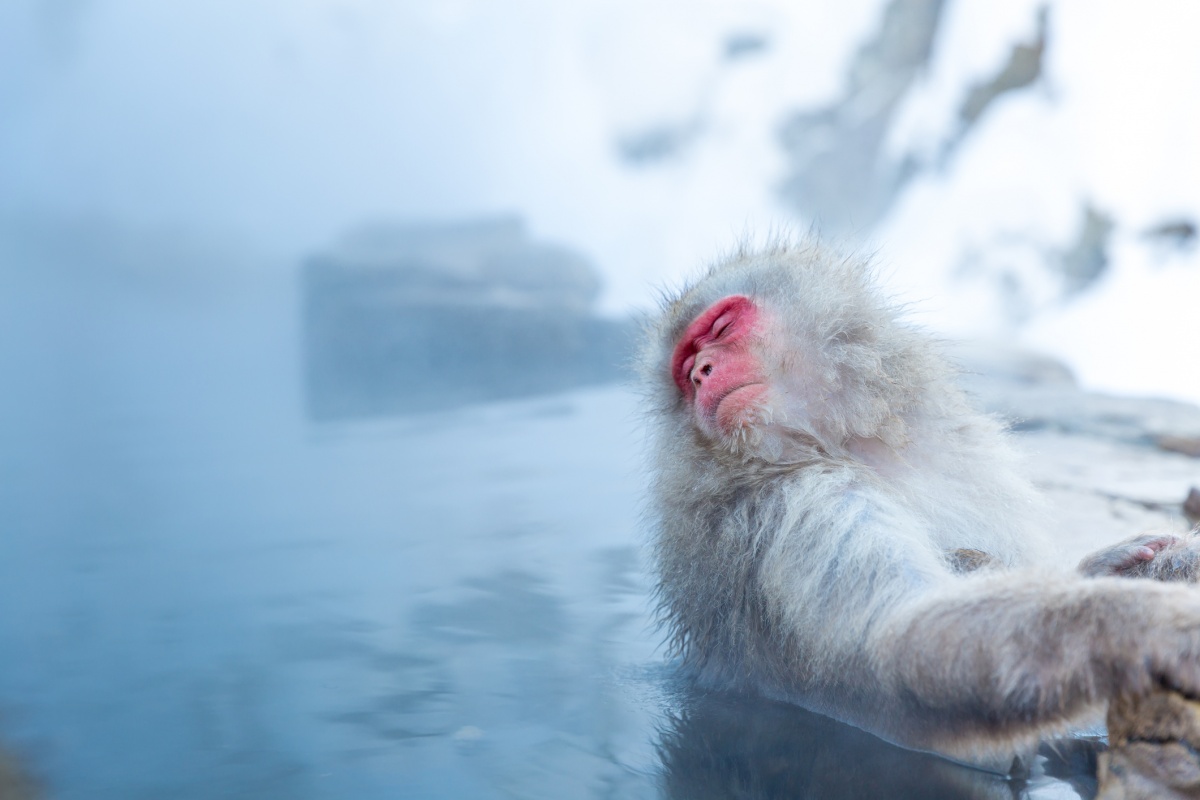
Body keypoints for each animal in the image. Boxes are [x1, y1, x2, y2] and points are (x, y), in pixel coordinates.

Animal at [643, 241, 1200, 767]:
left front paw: (1104, 567)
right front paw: (1154, 625)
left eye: (721, 327)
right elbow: (904, 641)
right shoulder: (802, 506)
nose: (701, 372)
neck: (832, 445)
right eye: (685, 367)